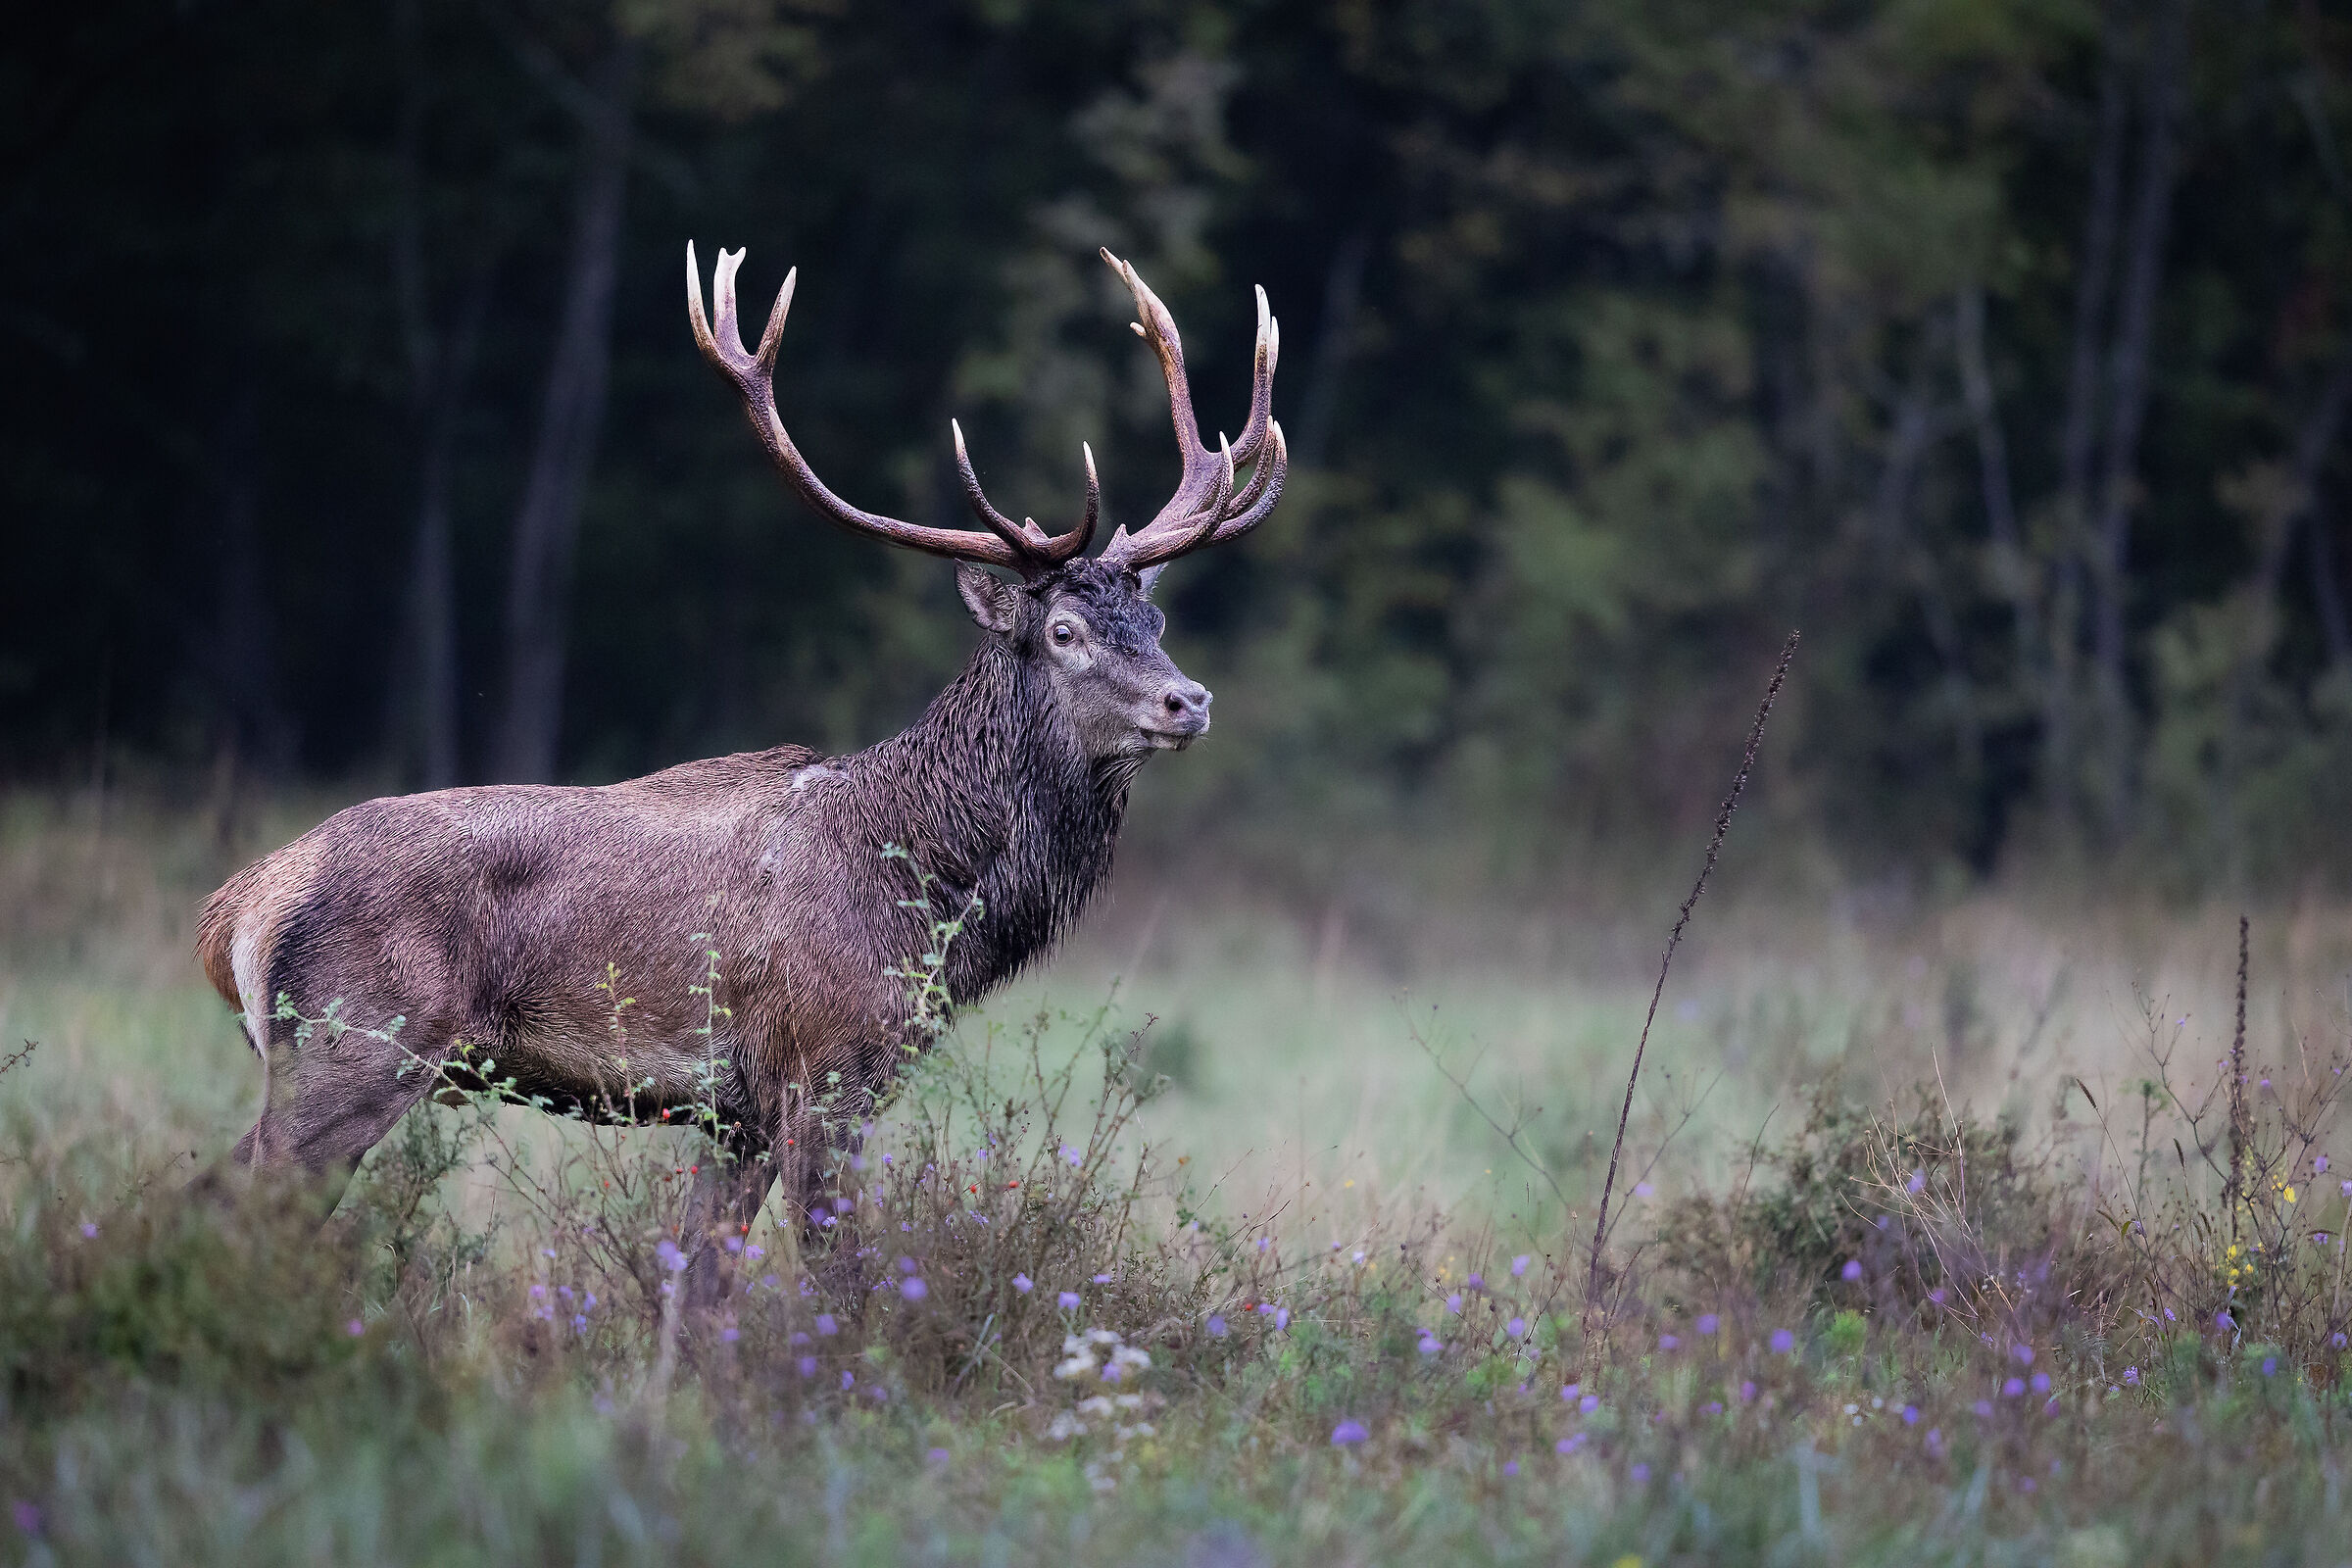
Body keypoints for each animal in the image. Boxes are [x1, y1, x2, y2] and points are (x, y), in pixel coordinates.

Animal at [193, 242, 1284, 1299]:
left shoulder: (738, 1110)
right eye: (1063, 631)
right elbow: (840, 1286)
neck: (934, 903)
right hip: (355, 1048)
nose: (1190, 701)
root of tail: (243, 900)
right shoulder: (823, 1072)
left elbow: (697, 1289)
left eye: (1156, 619)